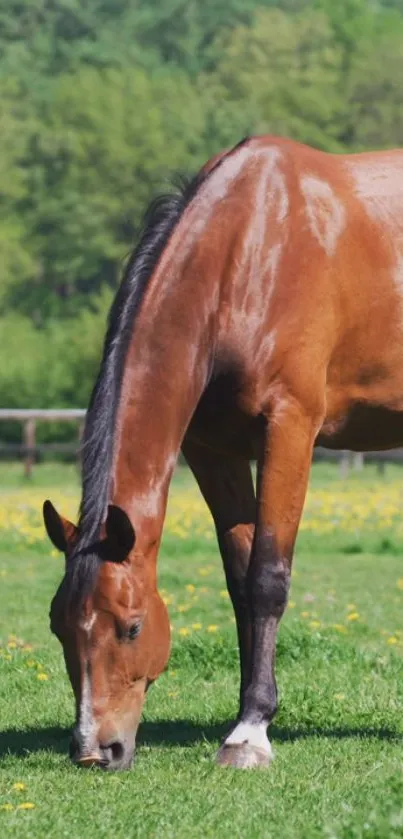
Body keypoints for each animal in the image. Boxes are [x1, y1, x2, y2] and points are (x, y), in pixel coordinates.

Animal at [41, 135, 403, 772]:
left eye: (131, 627)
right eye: (60, 627)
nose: (94, 750)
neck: (251, 253)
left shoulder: (290, 429)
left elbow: (267, 578)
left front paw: (250, 734)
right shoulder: (213, 449)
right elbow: (238, 582)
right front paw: (248, 711)